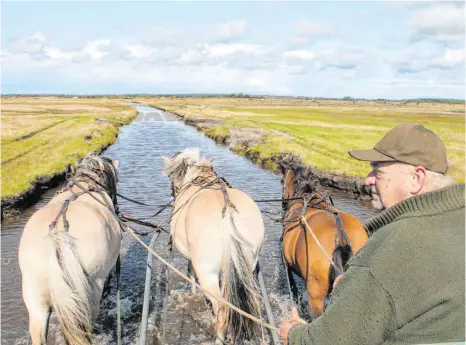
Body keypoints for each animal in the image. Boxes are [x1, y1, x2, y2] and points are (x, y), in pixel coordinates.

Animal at [163, 146, 266, 342]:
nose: (172, 195)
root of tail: (228, 214)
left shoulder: (192, 260)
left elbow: (191, 274)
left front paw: (193, 293)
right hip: (248, 266)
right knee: (252, 303)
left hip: (207, 273)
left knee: (222, 308)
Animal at [278, 161, 370, 318]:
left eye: (281, 181)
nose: (284, 204)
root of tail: (340, 237)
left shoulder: (287, 264)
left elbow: (293, 290)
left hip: (315, 296)